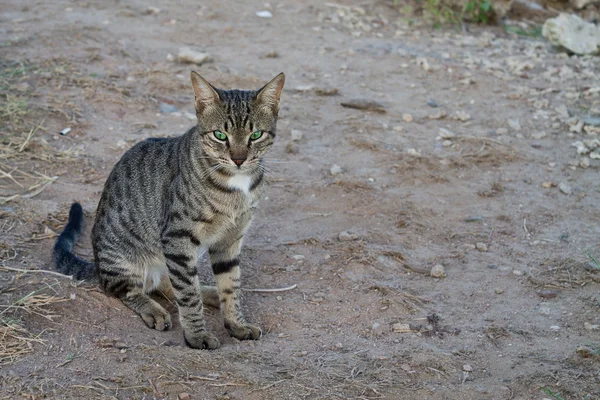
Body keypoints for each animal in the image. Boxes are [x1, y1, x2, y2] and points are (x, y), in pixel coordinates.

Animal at [52, 72, 286, 350]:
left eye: (256, 135)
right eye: (220, 135)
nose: (239, 159)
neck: (235, 185)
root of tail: (98, 263)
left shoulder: (230, 238)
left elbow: (231, 286)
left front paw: (236, 324)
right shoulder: (177, 237)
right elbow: (187, 294)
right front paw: (197, 336)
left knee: (167, 281)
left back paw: (209, 292)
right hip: (123, 257)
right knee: (126, 288)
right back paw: (154, 310)